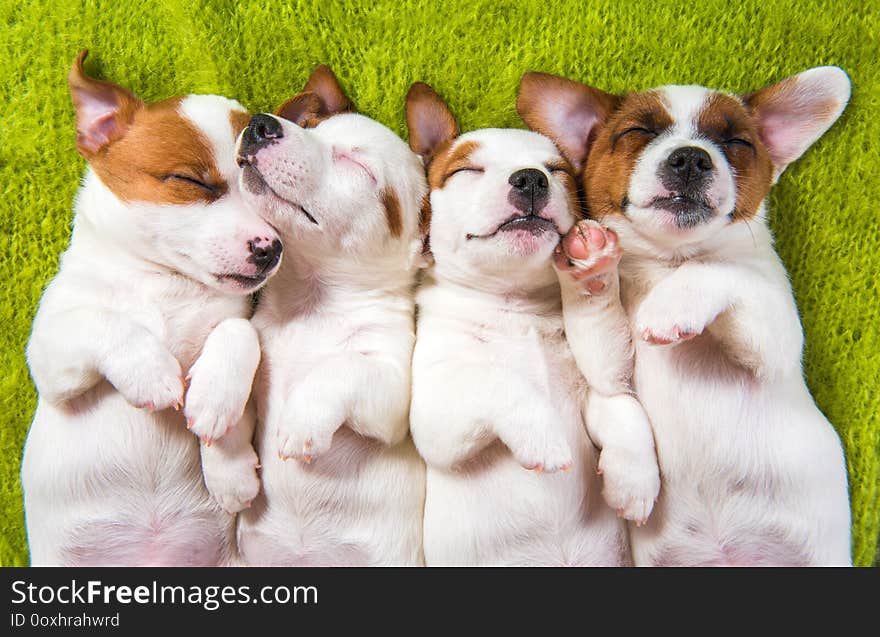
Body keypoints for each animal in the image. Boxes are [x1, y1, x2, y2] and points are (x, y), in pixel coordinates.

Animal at [21, 51, 278, 568]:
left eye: (270, 198)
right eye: (190, 181)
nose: (271, 249)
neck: (166, 284)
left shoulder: (241, 324)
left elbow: (238, 334)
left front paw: (221, 427)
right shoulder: (50, 362)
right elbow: (105, 322)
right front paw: (152, 373)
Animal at [234, 64, 426, 564]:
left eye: (357, 166)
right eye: (309, 126)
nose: (262, 124)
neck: (313, 302)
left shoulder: (394, 398)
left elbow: (343, 368)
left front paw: (301, 420)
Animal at [406, 82, 660, 564]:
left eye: (556, 171)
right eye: (466, 169)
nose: (530, 178)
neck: (512, 307)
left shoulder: (596, 386)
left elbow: (621, 404)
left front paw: (635, 477)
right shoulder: (433, 417)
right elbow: (497, 381)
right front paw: (544, 434)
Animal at [520, 68, 856, 568]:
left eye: (736, 141)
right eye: (638, 132)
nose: (691, 159)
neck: (668, 262)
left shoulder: (774, 343)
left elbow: (719, 269)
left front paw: (669, 306)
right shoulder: (607, 371)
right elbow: (619, 404)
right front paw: (633, 479)